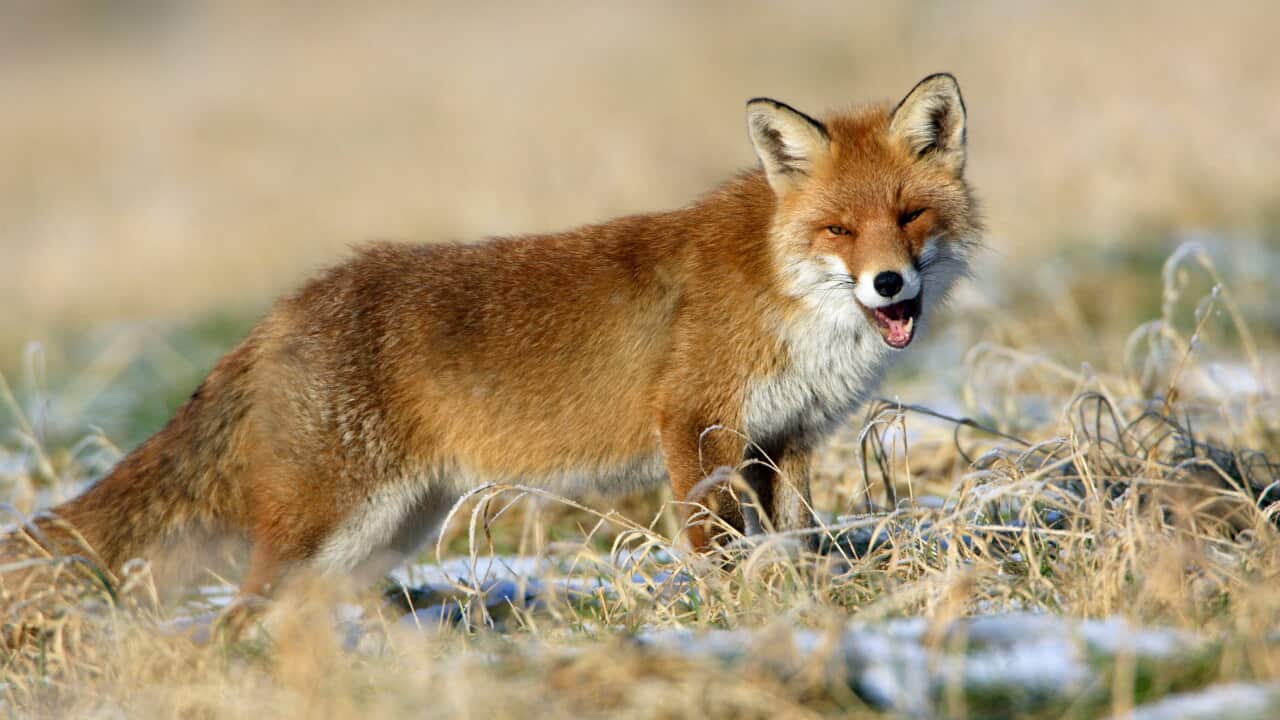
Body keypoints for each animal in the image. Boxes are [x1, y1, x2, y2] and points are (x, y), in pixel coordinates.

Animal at [7, 74, 979, 599]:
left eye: (908, 216)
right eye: (838, 231)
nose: (890, 284)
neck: (784, 291)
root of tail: (286, 306)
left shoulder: (785, 439)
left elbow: (797, 538)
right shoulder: (696, 424)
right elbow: (717, 546)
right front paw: (735, 614)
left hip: (382, 534)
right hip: (329, 527)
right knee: (235, 616)